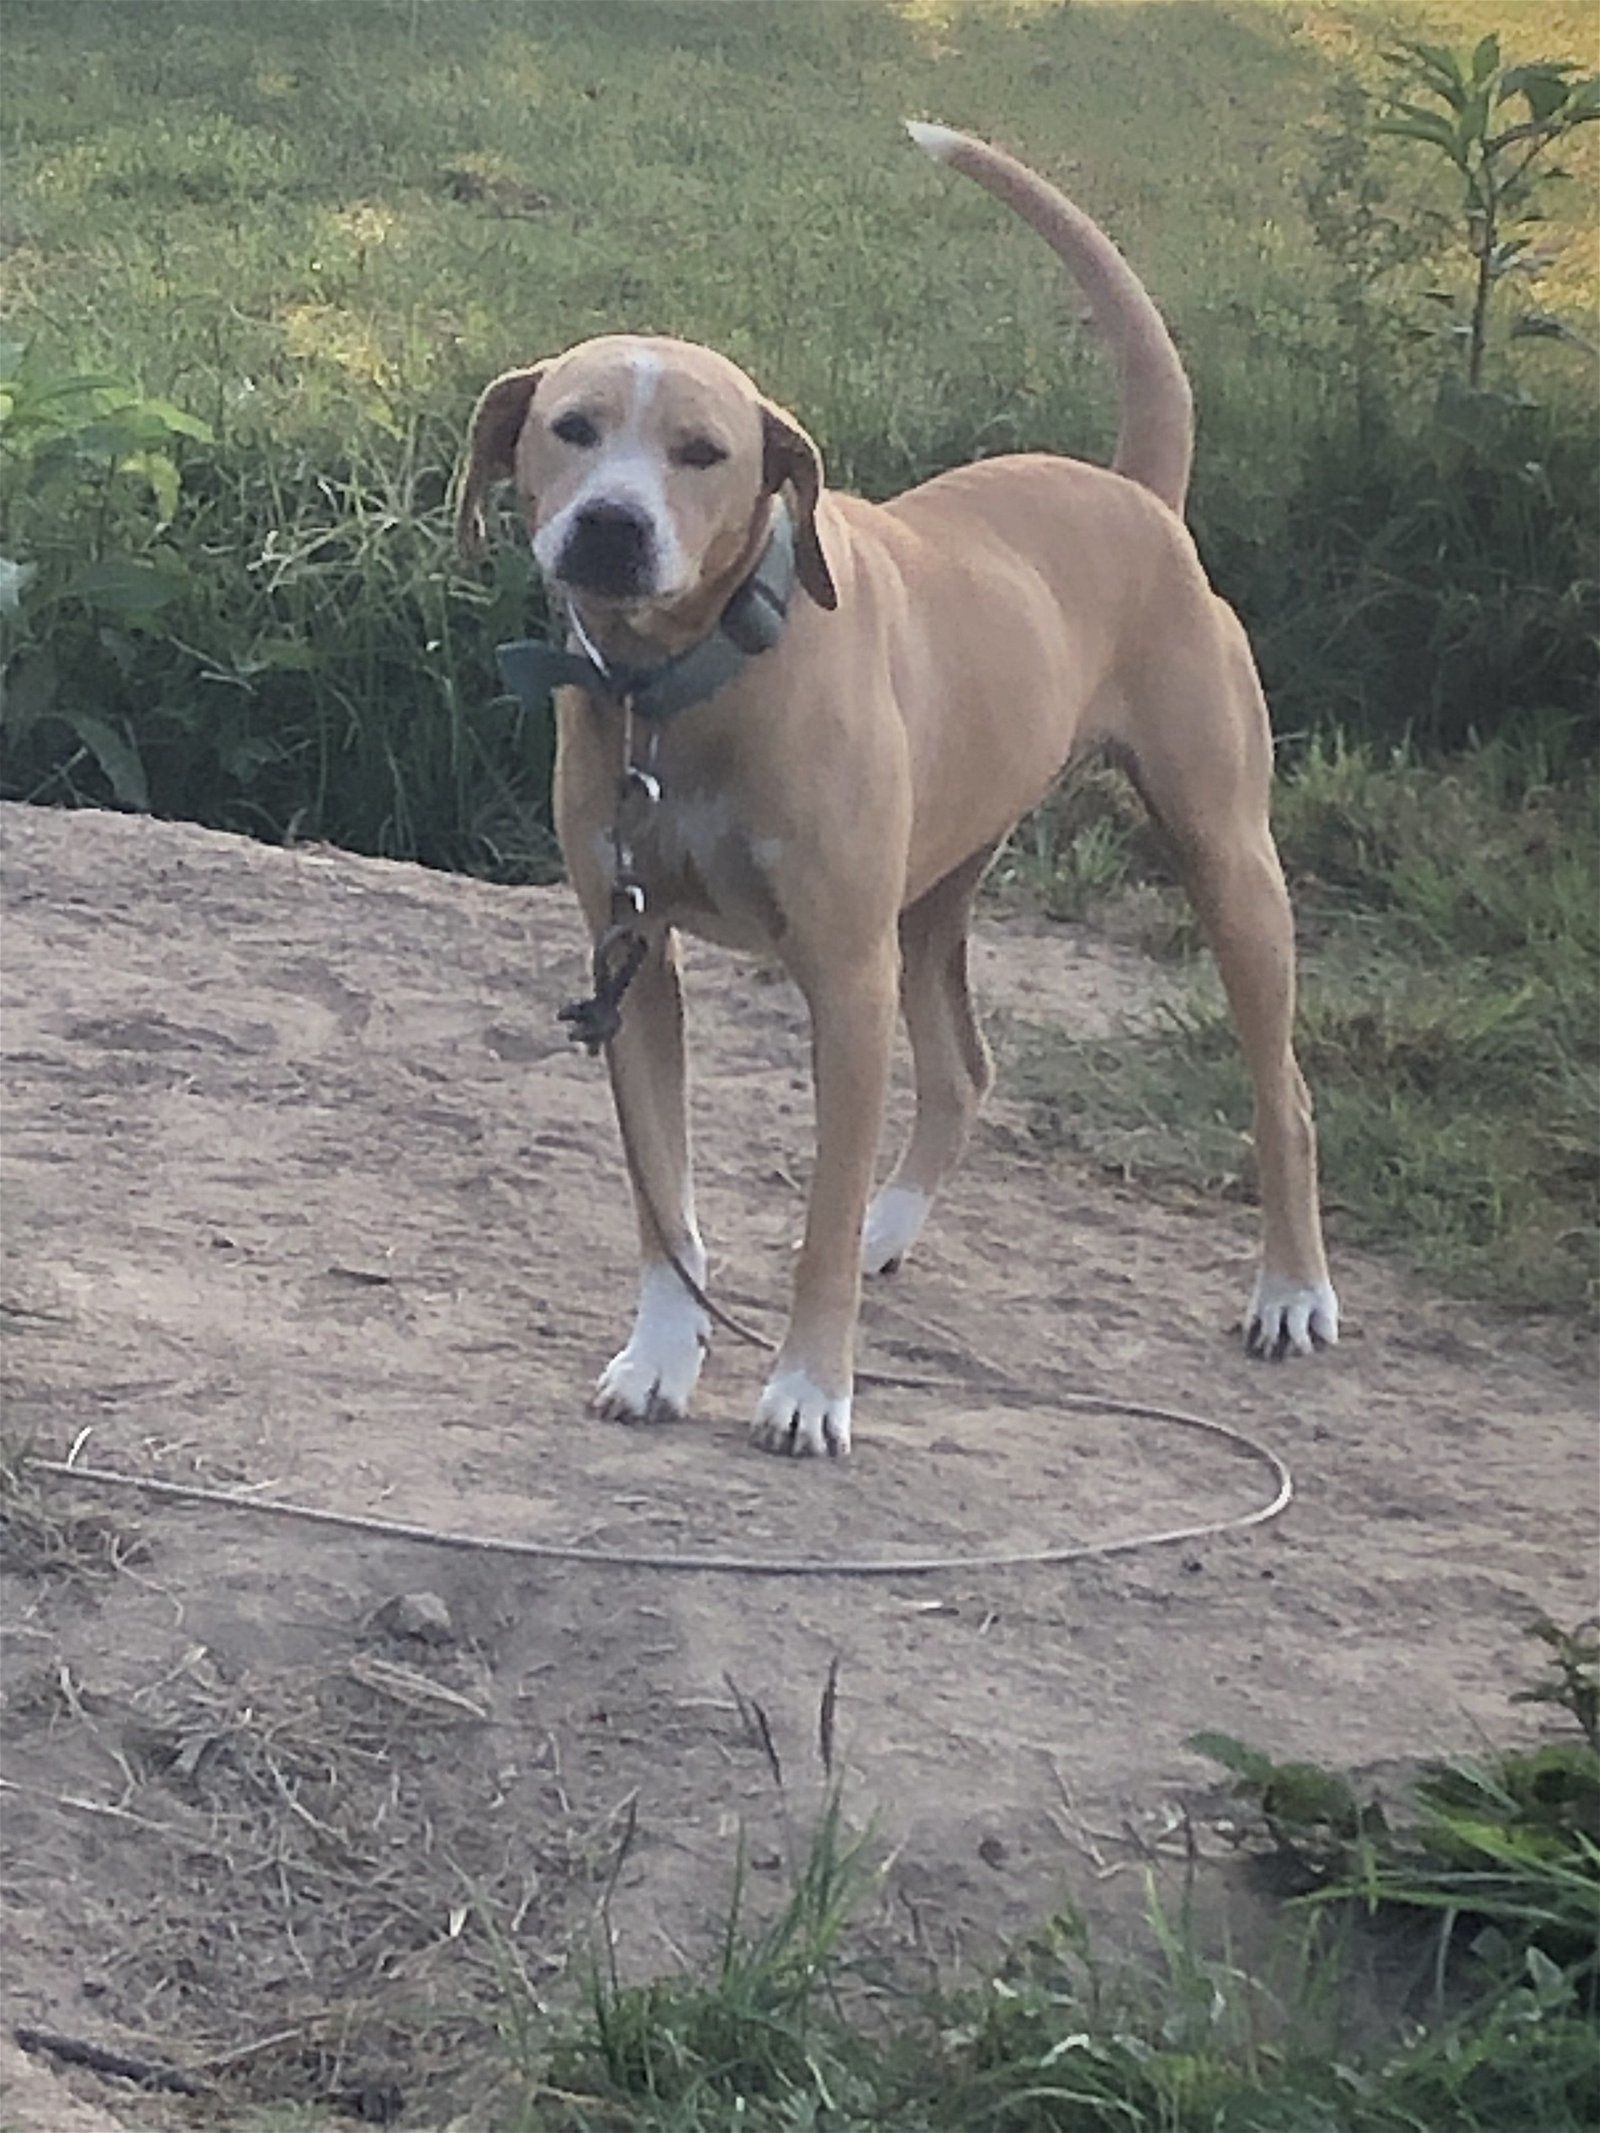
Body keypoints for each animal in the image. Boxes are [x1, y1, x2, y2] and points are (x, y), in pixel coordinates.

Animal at [460, 124, 1339, 1458]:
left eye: (703, 454)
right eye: (570, 426)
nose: (611, 525)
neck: (695, 684)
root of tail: (1136, 493)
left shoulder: (844, 976)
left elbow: (812, 1225)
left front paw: (809, 1387)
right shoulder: (634, 964)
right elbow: (663, 1202)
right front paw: (660, 1360)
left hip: (1225, 865)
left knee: (1280, 1091)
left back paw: (1290, 1292)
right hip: (935, 897)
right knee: (964, 1069)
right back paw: (894, 1222)